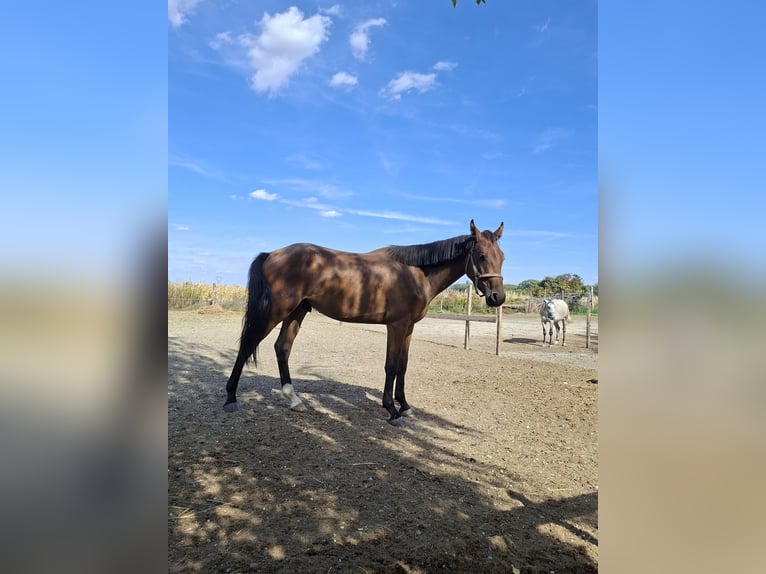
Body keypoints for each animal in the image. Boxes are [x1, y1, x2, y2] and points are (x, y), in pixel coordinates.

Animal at [223, 219, 506, 426]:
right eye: (481, 255)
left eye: (501, 256)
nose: (498, 297)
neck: (414, 272)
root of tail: (272, 253)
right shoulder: (397, 325)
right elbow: (391, 365)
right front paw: (392, 410)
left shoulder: (409, 328)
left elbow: (403, 366)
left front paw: (405, 406)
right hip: (276, 311)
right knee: (247, 345)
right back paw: (231, 398)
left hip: (297, 311)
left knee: (282, 348)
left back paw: (294, 400)